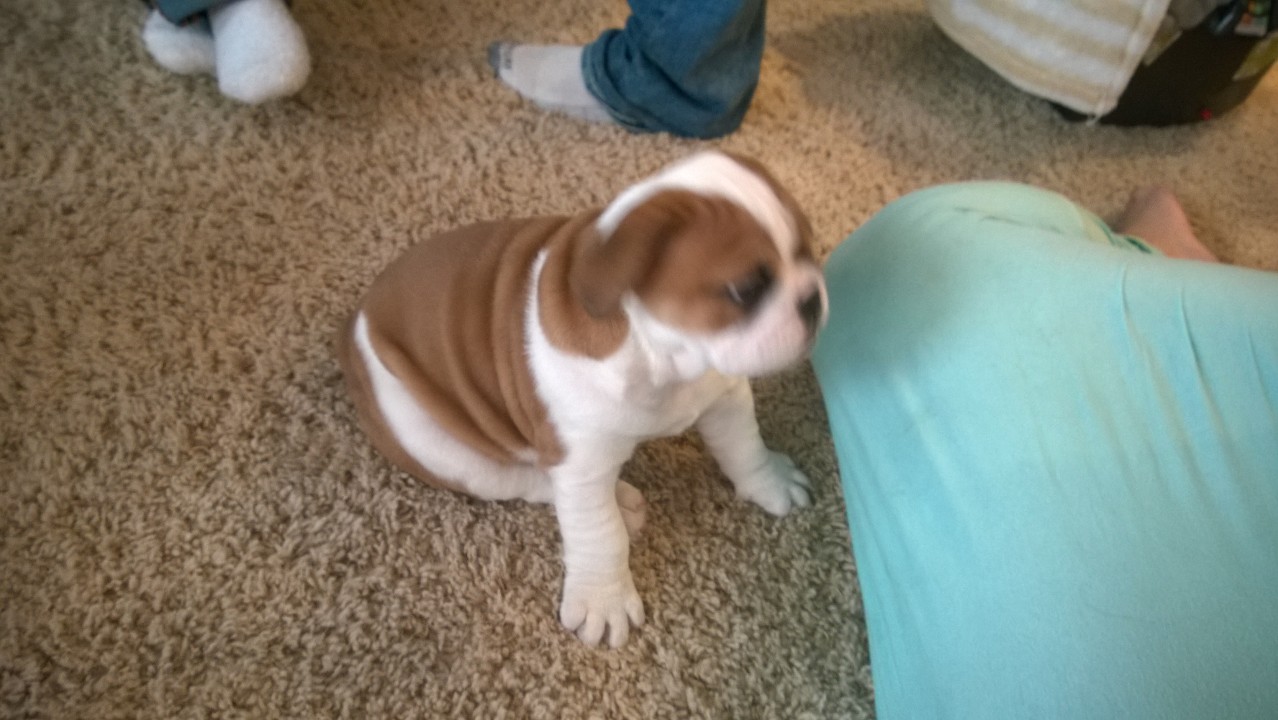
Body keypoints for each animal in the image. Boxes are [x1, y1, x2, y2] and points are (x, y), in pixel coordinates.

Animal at [337, 150, 828, 647]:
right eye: (746, 289)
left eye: (808, 251)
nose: (812, 299)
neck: (664, 356)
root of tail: (356, 323)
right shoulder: (582, 462)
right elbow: (598, 532)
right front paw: (604, 599)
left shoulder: (725, 396)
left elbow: (744, 446)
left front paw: (768, 481)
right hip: (432, 443)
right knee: (523, 481)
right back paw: (621, 501)